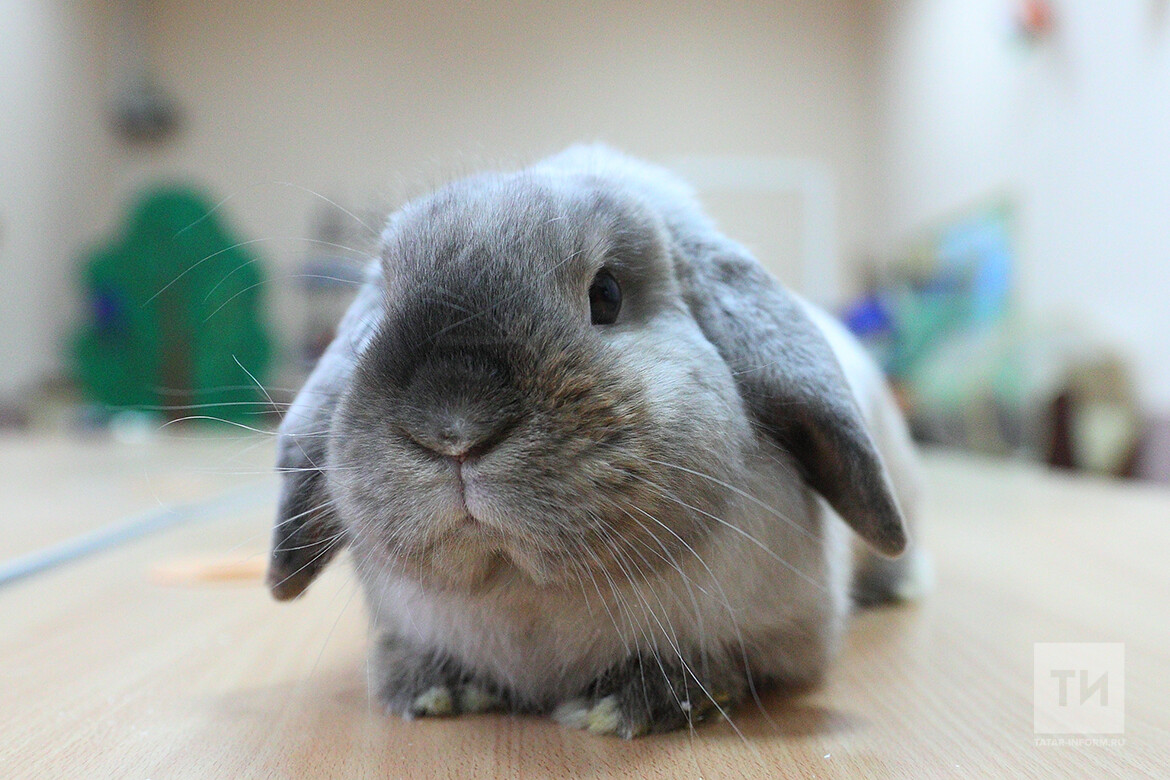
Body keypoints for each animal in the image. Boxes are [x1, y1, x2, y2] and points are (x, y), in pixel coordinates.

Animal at [266, 145, 926, 738]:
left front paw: (633, 702)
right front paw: (434, 689)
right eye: (379, 315)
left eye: (606, 294)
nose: (453, 431)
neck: (526, 596)